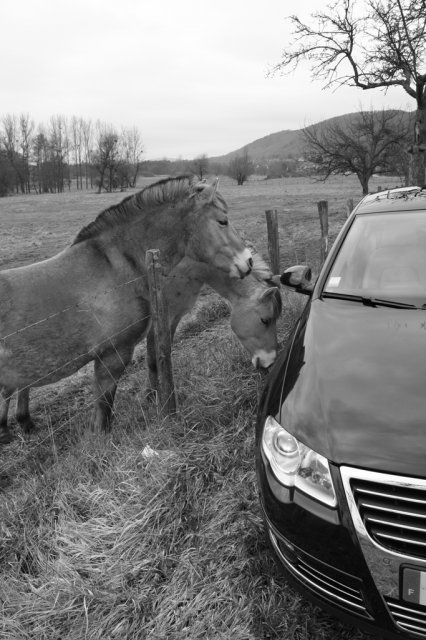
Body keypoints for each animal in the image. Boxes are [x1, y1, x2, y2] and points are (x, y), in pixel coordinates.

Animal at [0, 175, 253, 444]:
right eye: (222, 221)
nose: (248, 261)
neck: (116, 268)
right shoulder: (113, 354)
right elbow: (104, 408)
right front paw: (101, 443)